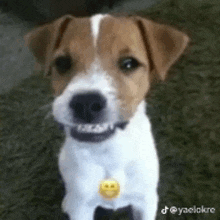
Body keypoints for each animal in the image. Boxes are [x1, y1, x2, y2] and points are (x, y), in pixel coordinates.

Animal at [24, 14, 189, 220]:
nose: (86, 102)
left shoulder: (146, 202)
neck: (108, 152)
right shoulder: (82, 209)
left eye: (129, 63)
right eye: (62, 63)